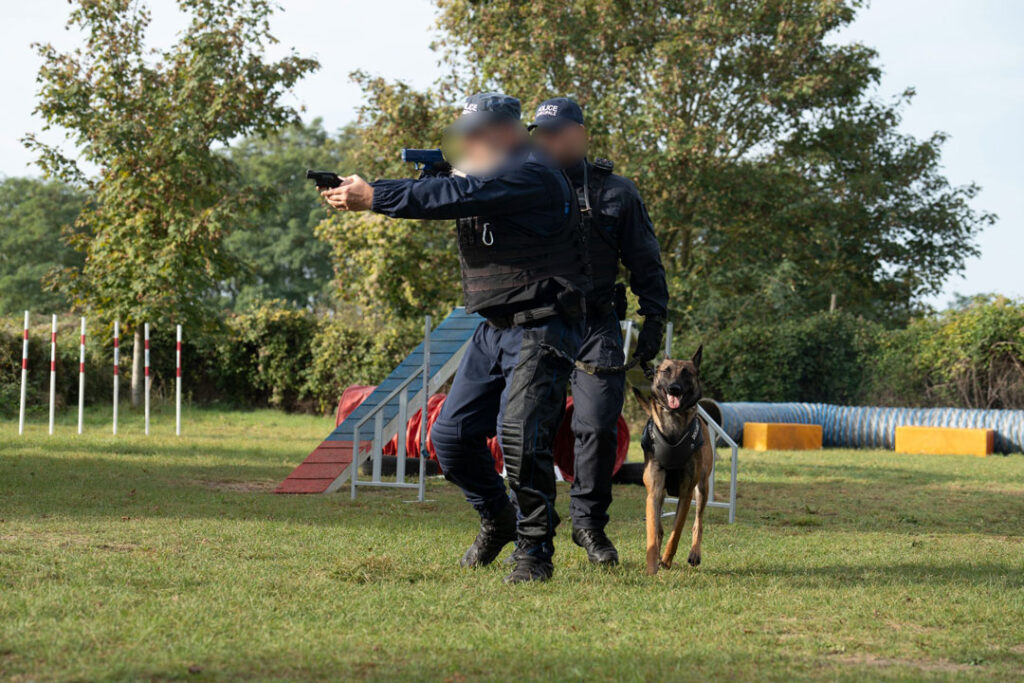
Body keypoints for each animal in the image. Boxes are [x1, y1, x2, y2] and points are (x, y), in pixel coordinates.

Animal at [630, 348, 712, 577]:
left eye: (686, 372)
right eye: (666, 371)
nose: (673, 388)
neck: (674, 424)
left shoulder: (686, 493)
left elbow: (677, 533)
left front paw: (666, 559)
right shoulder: (654, 490)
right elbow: (653, 532)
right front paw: (652, 566)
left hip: (703, 488)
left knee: (698, 523)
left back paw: (694, 554)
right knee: (659, 528)